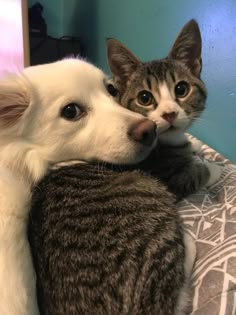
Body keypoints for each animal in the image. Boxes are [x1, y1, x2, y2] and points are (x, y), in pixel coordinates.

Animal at [107, 19, 221, 200]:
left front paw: (193, 143)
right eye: (144, 98)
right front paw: (214, 168)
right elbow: (197, 174)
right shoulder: (169, 179)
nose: (169, 114)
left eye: (181, 89)